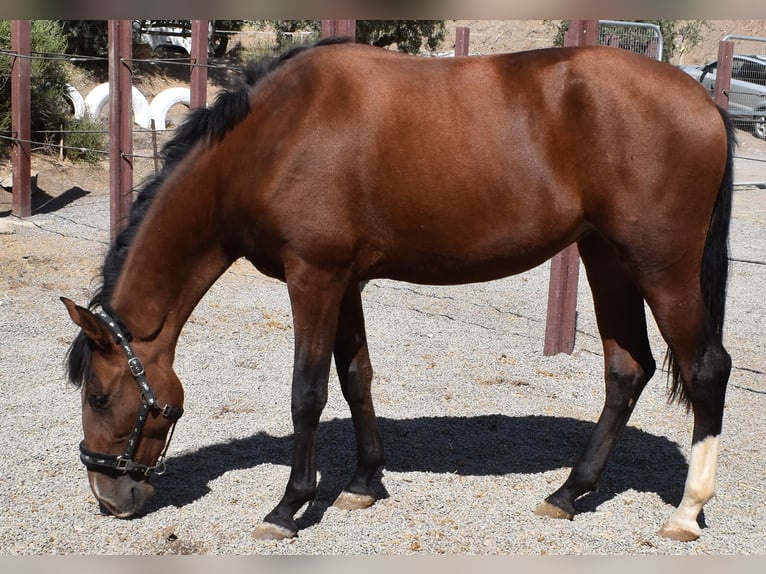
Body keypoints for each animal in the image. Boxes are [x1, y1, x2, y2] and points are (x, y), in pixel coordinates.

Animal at [61, 39, 736, 544]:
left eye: (99, 395)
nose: (108, 495)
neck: (274, 137)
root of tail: (702, 100)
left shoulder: (314, 278)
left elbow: (307, 392)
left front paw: (289, 507)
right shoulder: (346, 281)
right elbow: (356, 375)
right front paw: (364, 483)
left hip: (661, 266)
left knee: (707, 368)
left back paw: (686, 512)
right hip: (606, 259)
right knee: (627, 369)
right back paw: (570, 492)